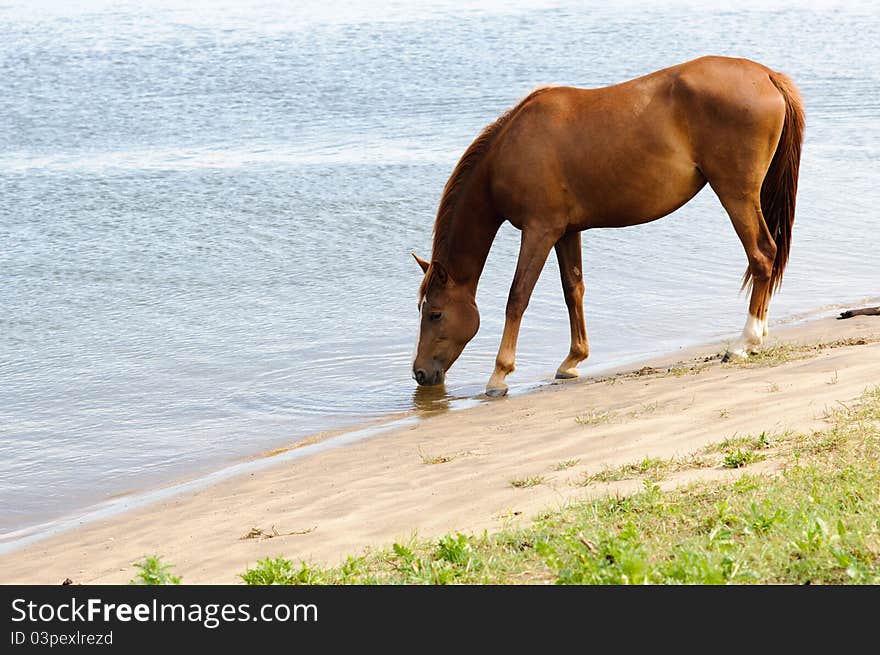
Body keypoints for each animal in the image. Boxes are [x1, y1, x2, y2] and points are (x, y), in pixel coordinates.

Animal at [412, 56, 804, 398]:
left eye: (435, 313)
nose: (419, 374)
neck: (512, 147)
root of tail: (767, 75)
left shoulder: (539, 230)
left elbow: (518, 297)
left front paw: (499, 374)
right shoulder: (566, 231)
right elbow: (573, 289)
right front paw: (573, 360)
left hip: (736, 194)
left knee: (761, 256)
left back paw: (744, 342)